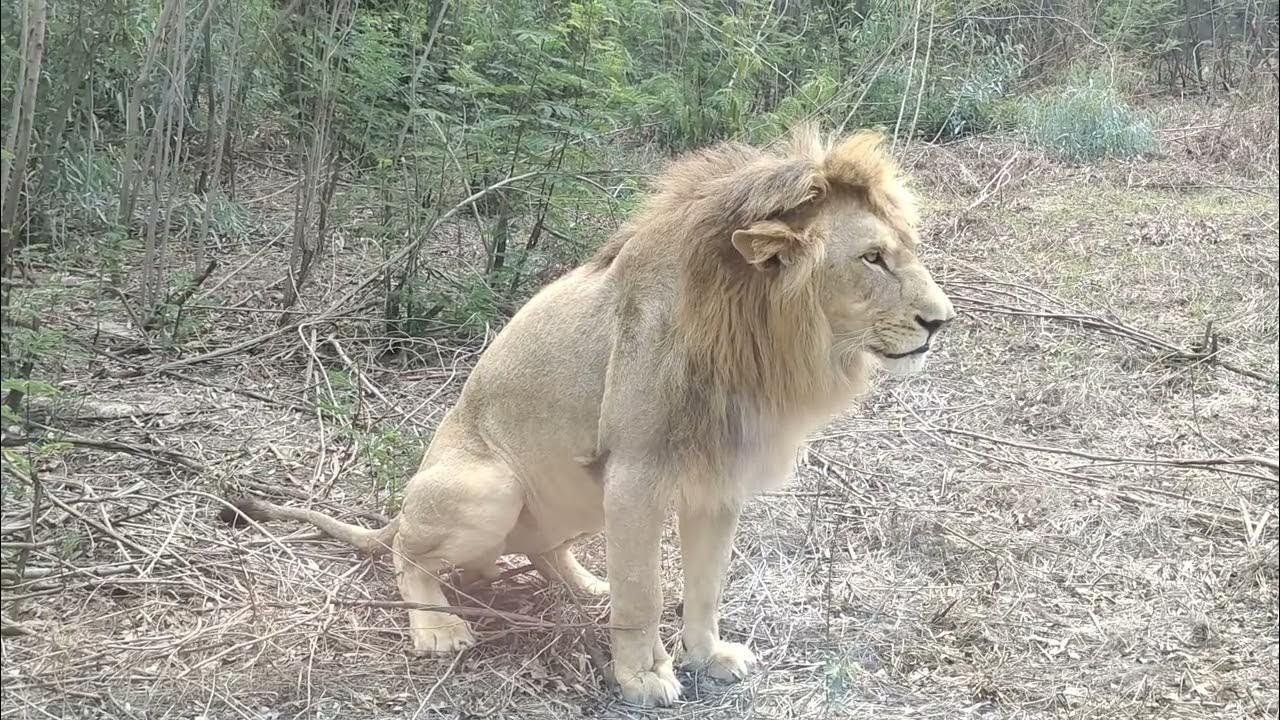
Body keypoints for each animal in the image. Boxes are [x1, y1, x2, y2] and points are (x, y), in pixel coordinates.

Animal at [223, 125, 955, 707]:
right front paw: (644, 677)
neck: (761, 337)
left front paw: (707, 656)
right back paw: (437, 627)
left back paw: (585, 586)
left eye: (907, 251)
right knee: (408, 552)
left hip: (574, 495)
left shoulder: (717, 483)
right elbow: (644, 594)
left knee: (544, 551)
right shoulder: (635, 475)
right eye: (872, 258)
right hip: (490, 485)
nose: (941, 322)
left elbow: (705, 584)